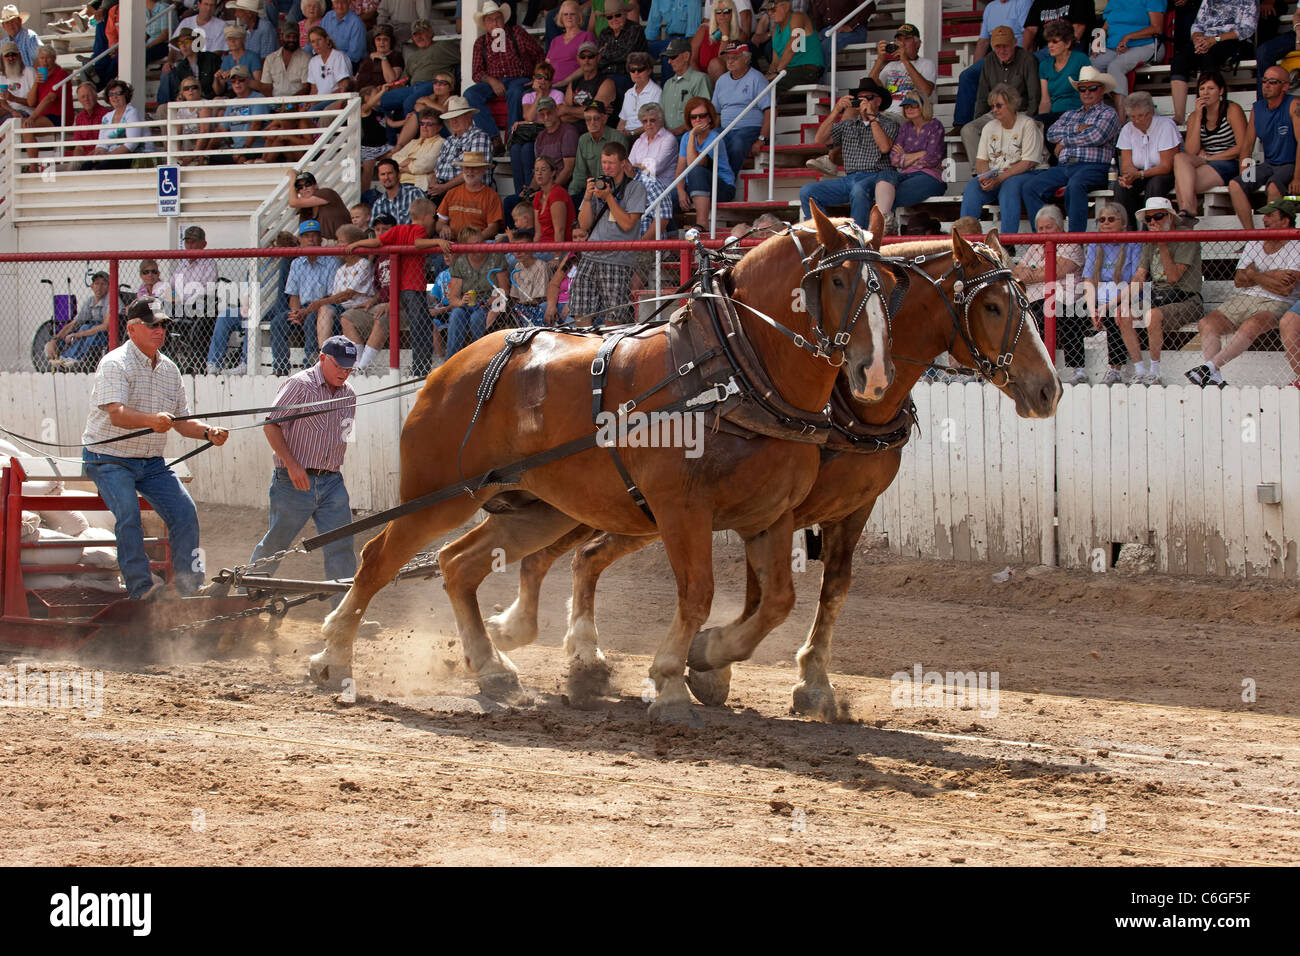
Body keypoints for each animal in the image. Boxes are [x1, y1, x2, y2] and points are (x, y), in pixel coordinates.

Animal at [313, 205, 899, 723]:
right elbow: (697, 593)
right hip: (440, 495)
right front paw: (670, 680)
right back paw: (334, 658)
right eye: (840, 280)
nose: (874, 374)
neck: (732, 371)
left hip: (537, 509)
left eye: (890, 284)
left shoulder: (770, 516)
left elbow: (777, 600)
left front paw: (706, 656)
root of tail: (450, 366)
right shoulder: (681, 509)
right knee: (377, 559)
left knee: (458, 564)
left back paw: (492, 669)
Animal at [452, 209, 1060, 717]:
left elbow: (829, 590)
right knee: (555, 555)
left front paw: (810, 681)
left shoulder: (848, 509)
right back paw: (532, 639)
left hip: (623, 508)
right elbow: (761, 596)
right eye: (993, 306)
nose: (1048, 390)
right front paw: (709, 663)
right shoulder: (770, 510)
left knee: (579, 556)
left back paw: (557, 648)